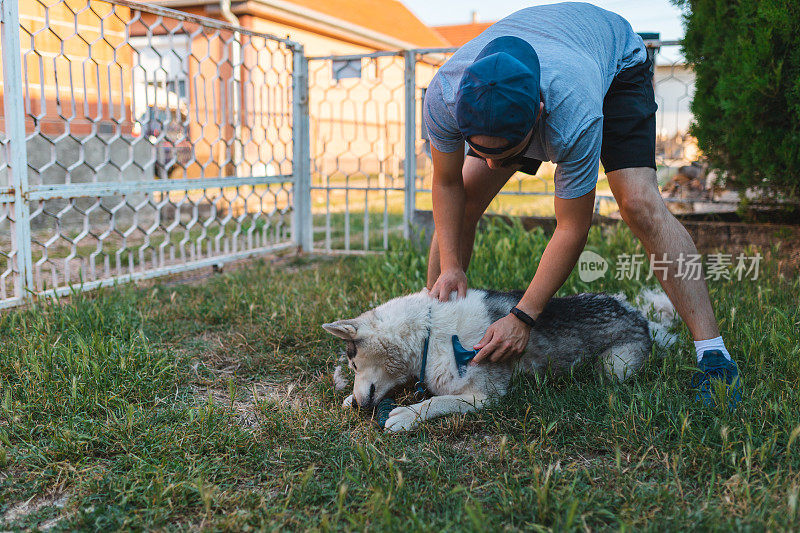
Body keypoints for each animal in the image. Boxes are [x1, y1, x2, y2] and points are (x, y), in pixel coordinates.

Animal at [322, 286, 680, 432]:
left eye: (353, 365)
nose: (359, 404)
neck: (428, 333)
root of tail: (640, 318)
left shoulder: (485, 397)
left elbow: (435, 402)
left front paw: (407, 415)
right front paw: (349, 399)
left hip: (614, 367)